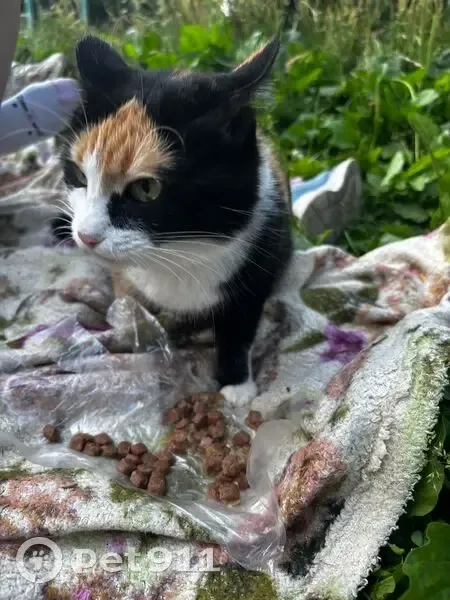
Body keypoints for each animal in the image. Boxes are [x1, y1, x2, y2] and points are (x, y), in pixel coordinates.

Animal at [59, 35, 293, 406]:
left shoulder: (258, 261)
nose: (86, 236)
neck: (178, 251)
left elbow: (239, 328)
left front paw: (236, 386)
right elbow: (133, 310)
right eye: (80, 176)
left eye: (146, 189)